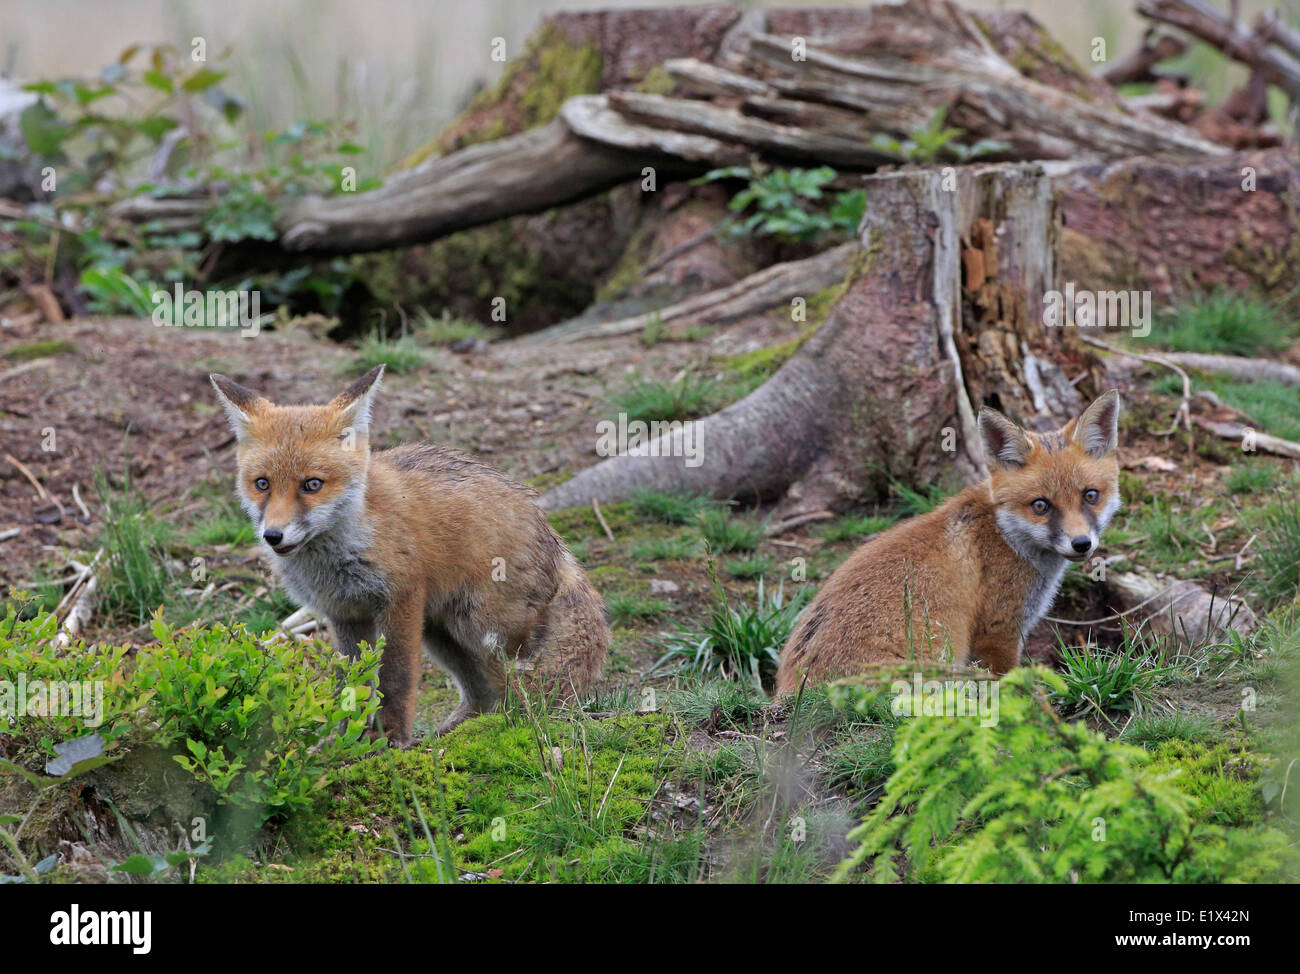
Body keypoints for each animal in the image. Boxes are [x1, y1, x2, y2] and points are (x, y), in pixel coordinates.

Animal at [208, 364, 609, 746]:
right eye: (262, 484)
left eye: (312, 484)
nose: (273, 536)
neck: (338, 553)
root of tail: (547, 527)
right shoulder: (344, 613)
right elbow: (352, 683)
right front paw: (345, 742)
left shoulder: (400, 598)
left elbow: (395, 677)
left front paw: (392, 739)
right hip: (441, 633)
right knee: (483, 693)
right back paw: (454, 732)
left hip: (482, 627)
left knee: (516, 683)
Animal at [775, 390, 1122, 693]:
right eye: (1040, 505)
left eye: (1090, 496)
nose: (1081, 543)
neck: (1004, 534)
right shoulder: (997, 632)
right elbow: (1009, 679)